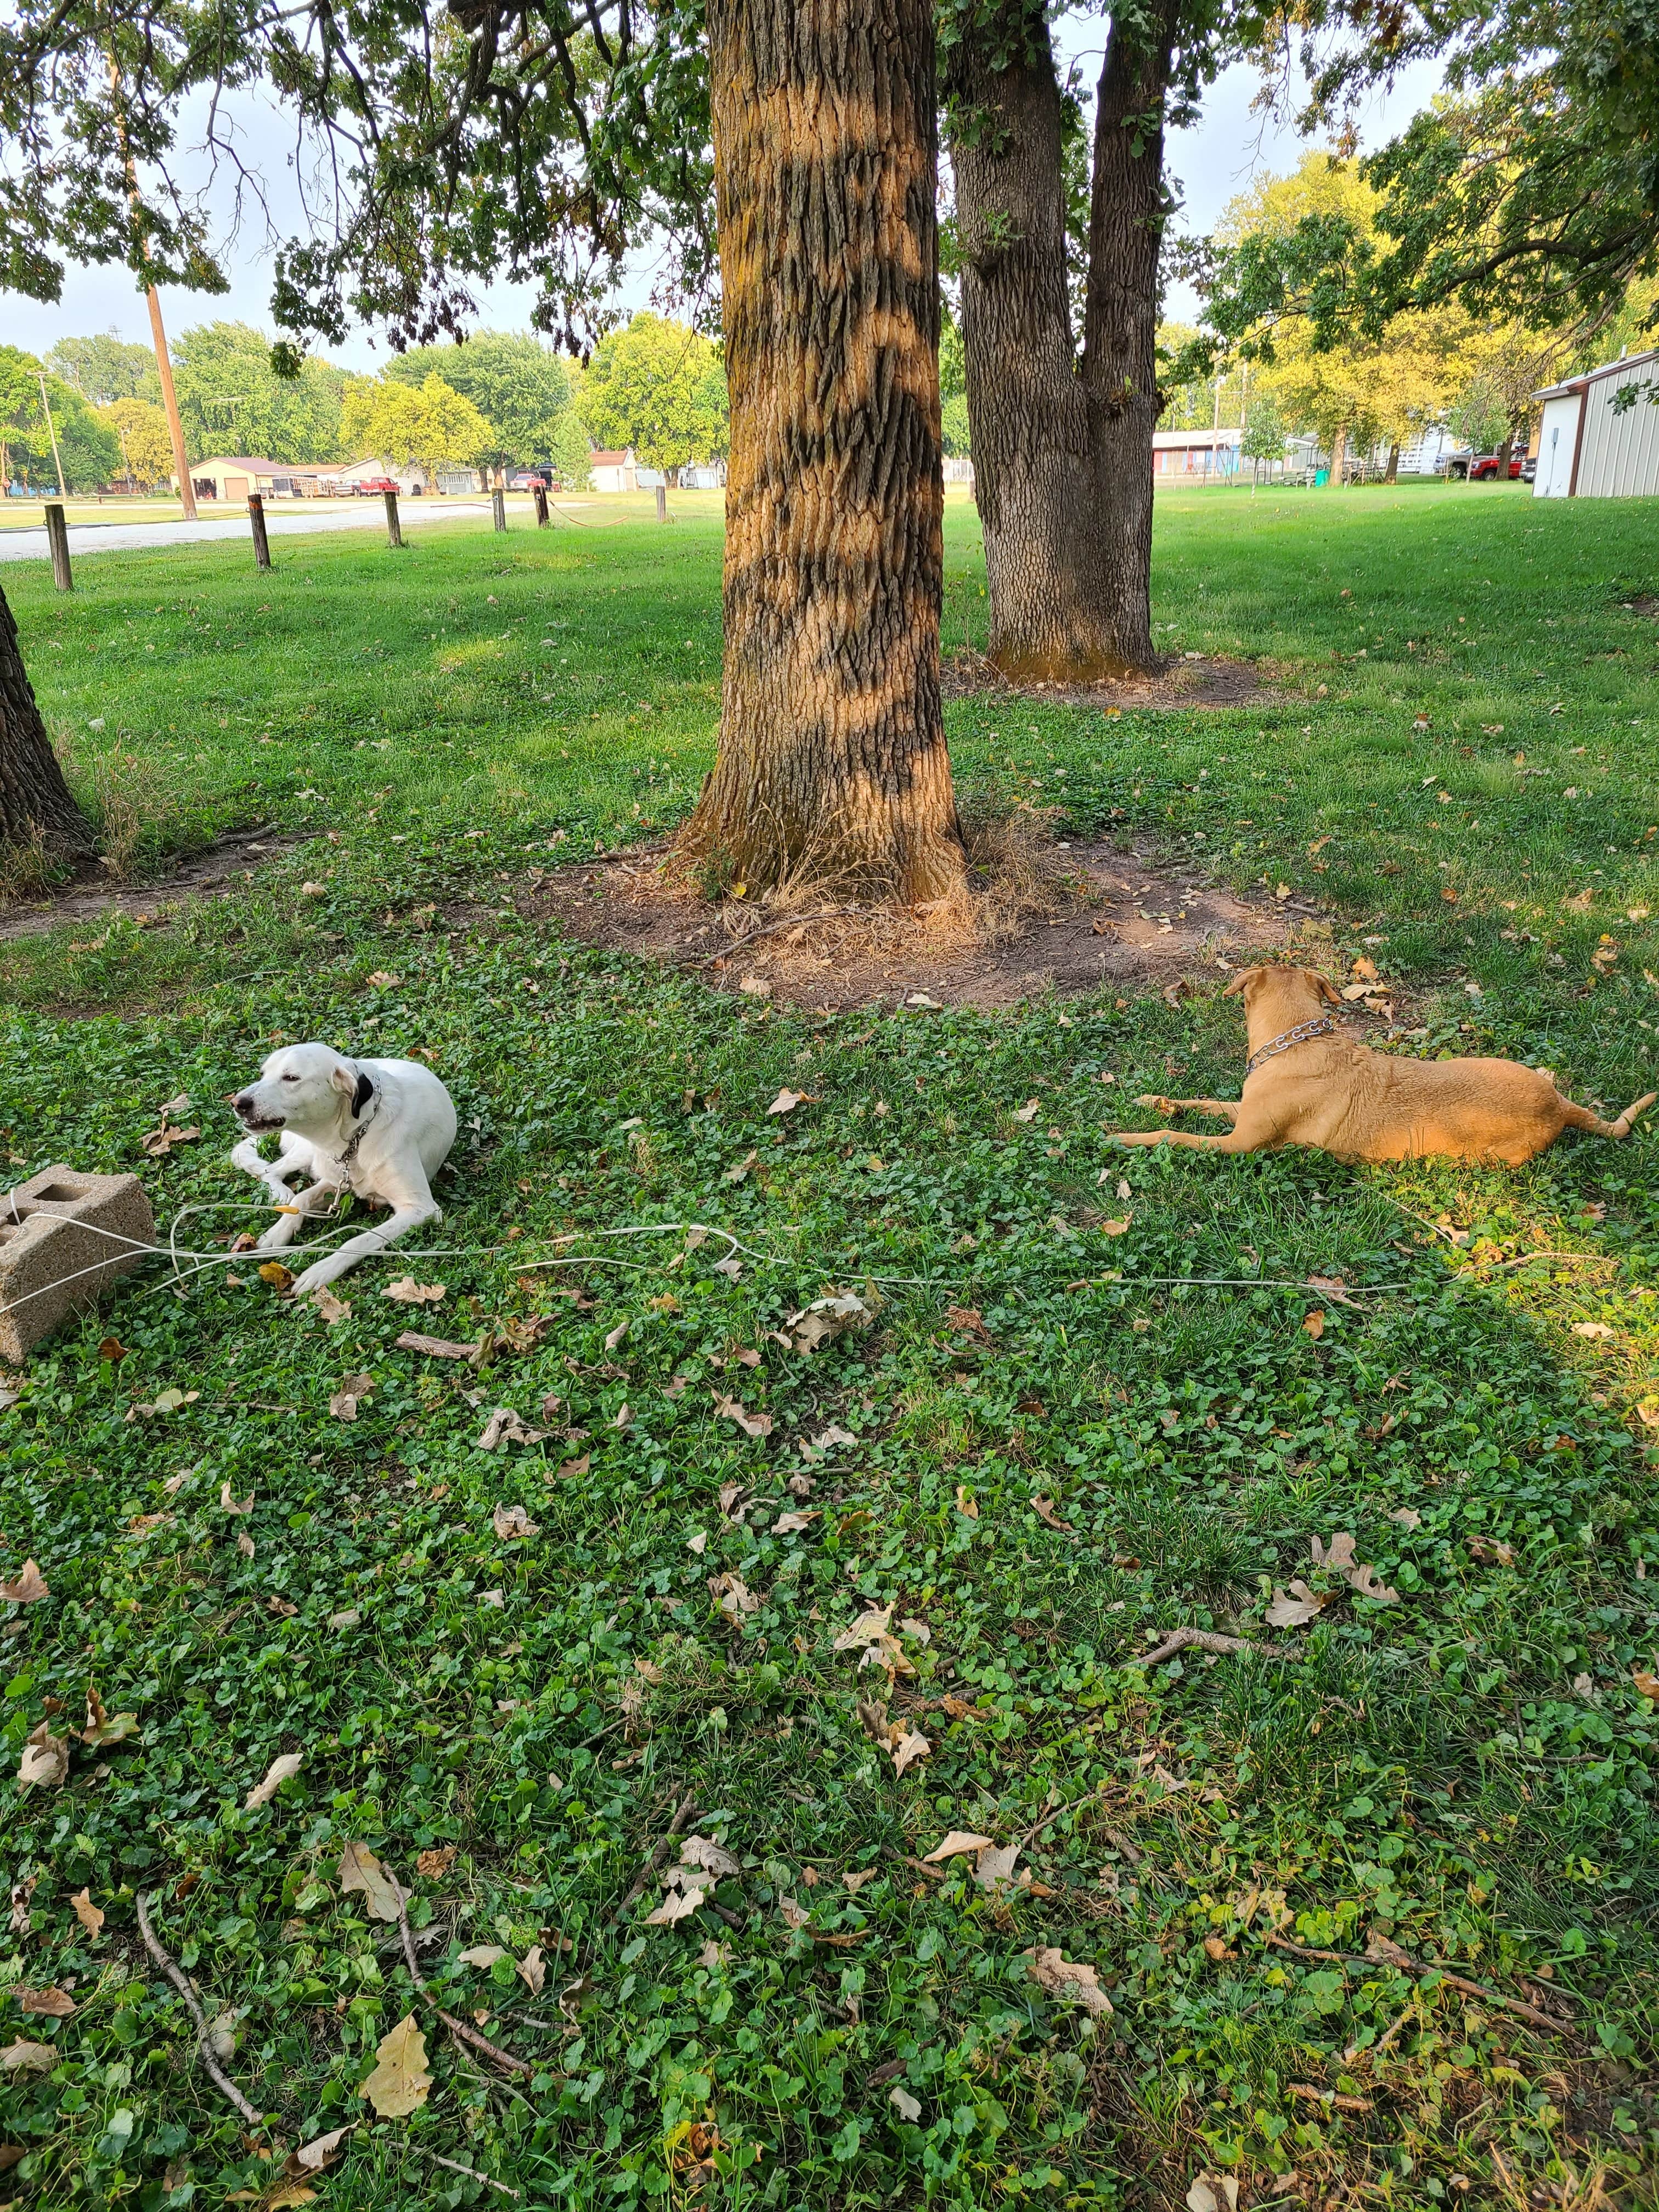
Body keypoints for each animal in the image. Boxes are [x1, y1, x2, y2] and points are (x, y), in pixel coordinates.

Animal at [231, 1040, 458, 1291]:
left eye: (291, 1078)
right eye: (263, 1074)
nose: (237, 1103)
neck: (358, 1136)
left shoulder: (421, 1209)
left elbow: (360, 1239)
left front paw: (321, 1270)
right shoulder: (337, 1181)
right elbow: (302, 1198)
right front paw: (278, 1233)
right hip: (308, 1154)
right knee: (270, 1171)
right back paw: (281, 1193)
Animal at [1119, 964, 1659, 1167]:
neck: (1296, 1042)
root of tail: (1560, 1106)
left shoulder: (1240, 1145)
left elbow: (1174, 1136)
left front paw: (1124, 1136)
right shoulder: (1241, 1115)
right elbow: (1200, 1102)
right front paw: (1155, 1099)